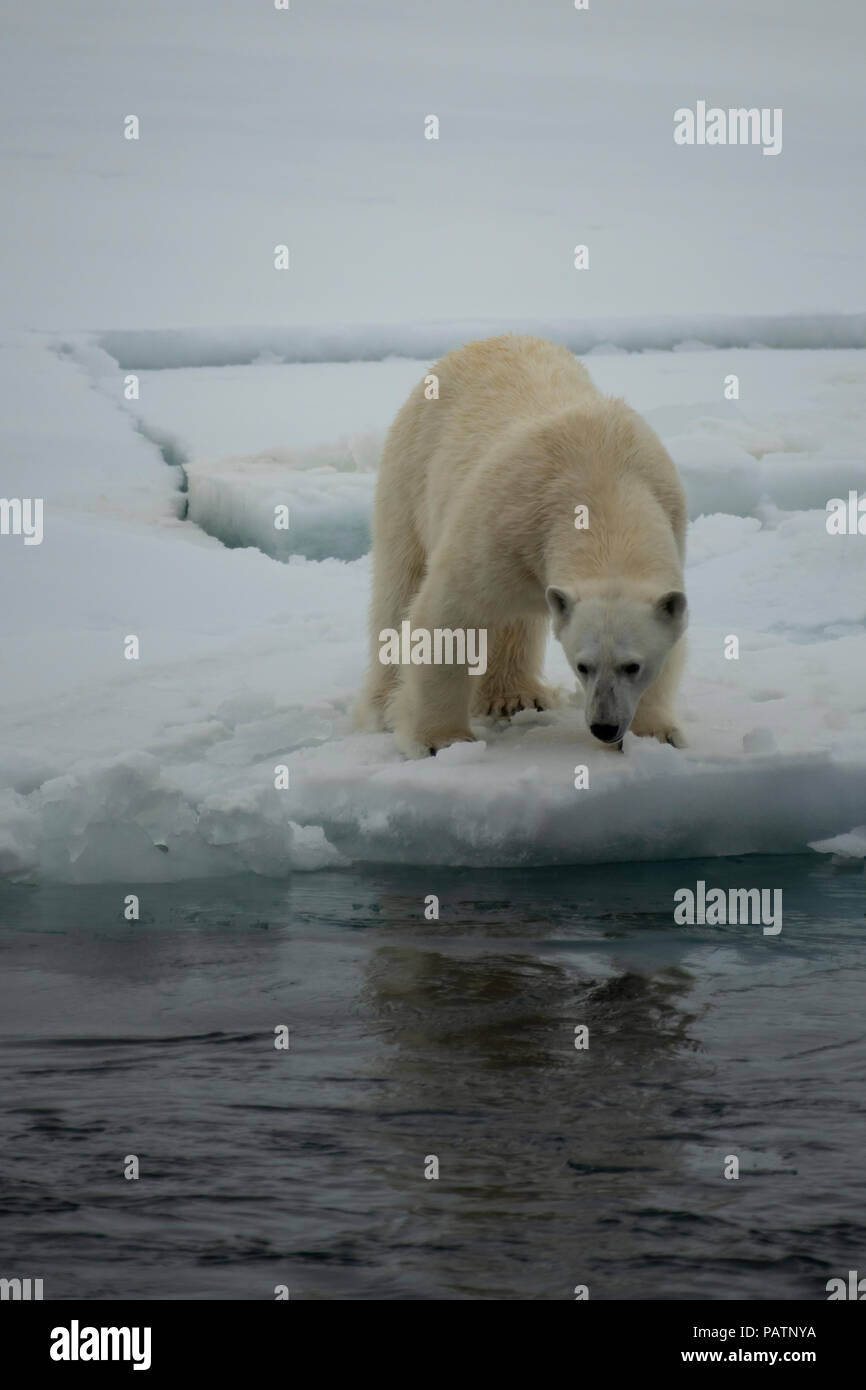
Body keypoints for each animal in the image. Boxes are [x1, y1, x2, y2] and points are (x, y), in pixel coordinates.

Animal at [355, 337, 686, 761]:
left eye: (634, 665)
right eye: (582, 665)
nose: (605, 725)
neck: (602, 483)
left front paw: (656, 733)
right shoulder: (501, 522)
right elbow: (448, 615)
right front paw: (441, 739)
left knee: (517, 620)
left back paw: (515, 698)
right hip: (410, 470)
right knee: (399, 585)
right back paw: (383, 705)